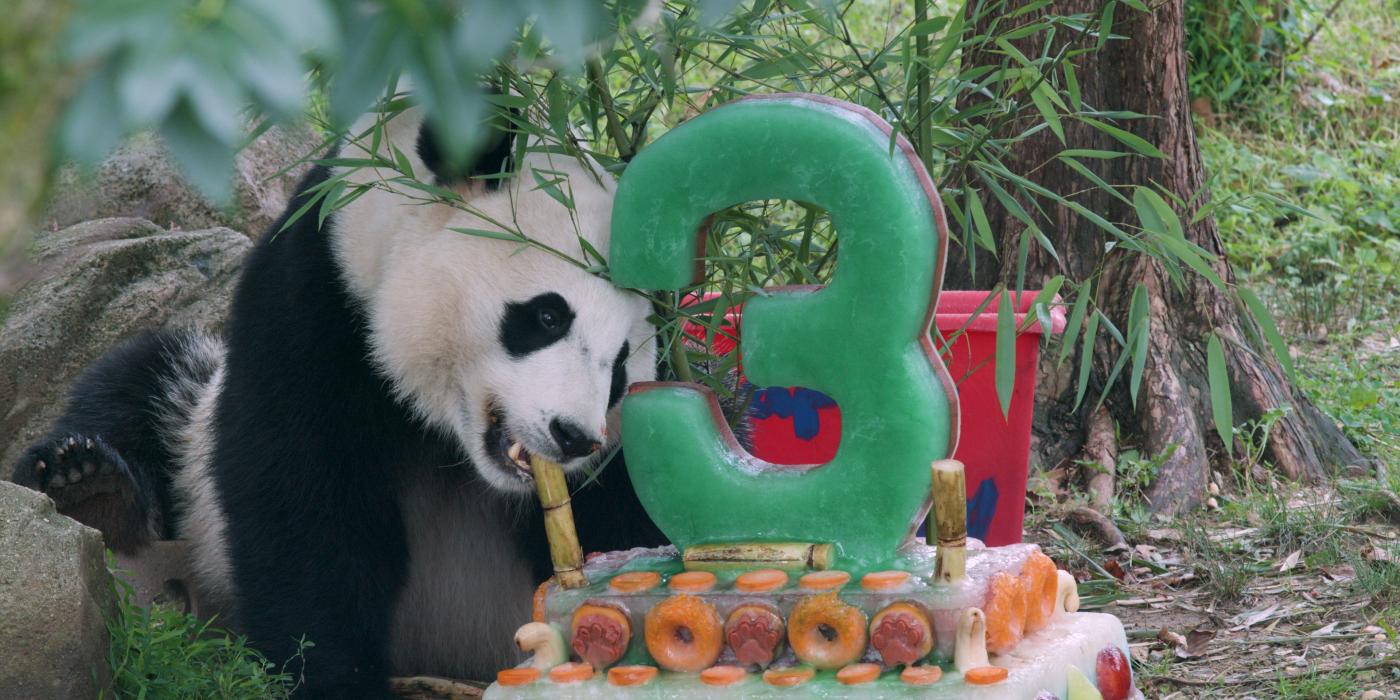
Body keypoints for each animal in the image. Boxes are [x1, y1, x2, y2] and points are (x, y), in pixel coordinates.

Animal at [9, 101, 666, 697]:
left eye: (620, 366)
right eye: (547, 316)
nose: (574, 437)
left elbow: (628, 515)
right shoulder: (319, 298)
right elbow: (304, 509)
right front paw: (333, 676)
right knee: (141, 380)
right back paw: (87, 484)